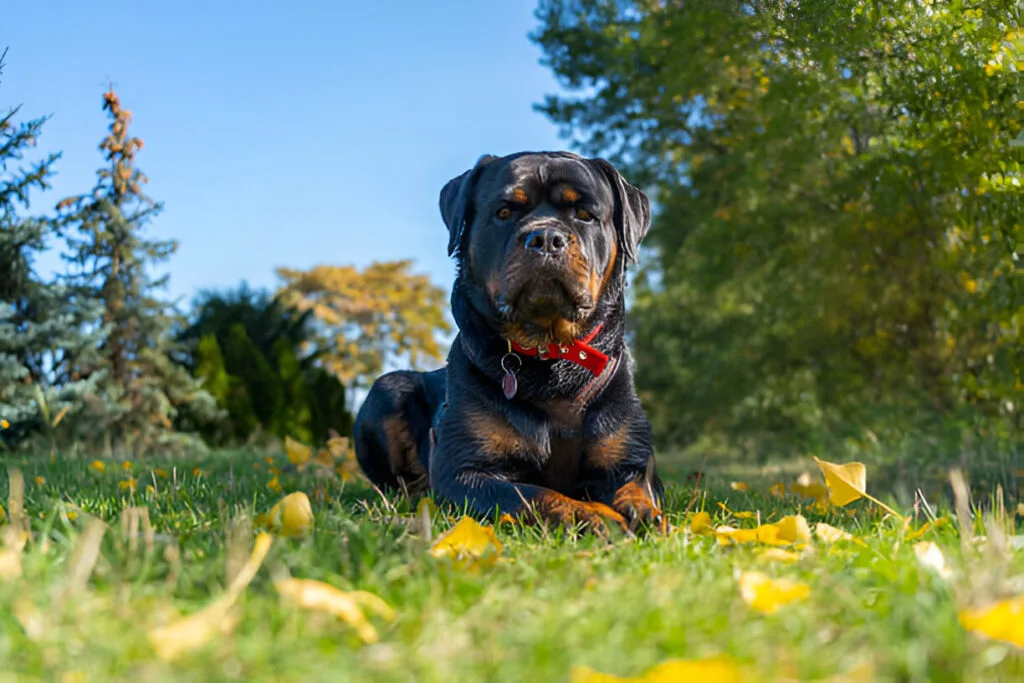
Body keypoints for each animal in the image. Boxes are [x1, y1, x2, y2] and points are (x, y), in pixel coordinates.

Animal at [356, 152, 667, 536]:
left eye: (584, 213)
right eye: (504, 212)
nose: (545, 237)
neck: (550, 360)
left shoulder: (630, 459)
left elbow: (636, 486)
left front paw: (644, 513)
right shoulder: (463, 471)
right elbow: (533, 494)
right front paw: (591, 514)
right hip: (387, 389)